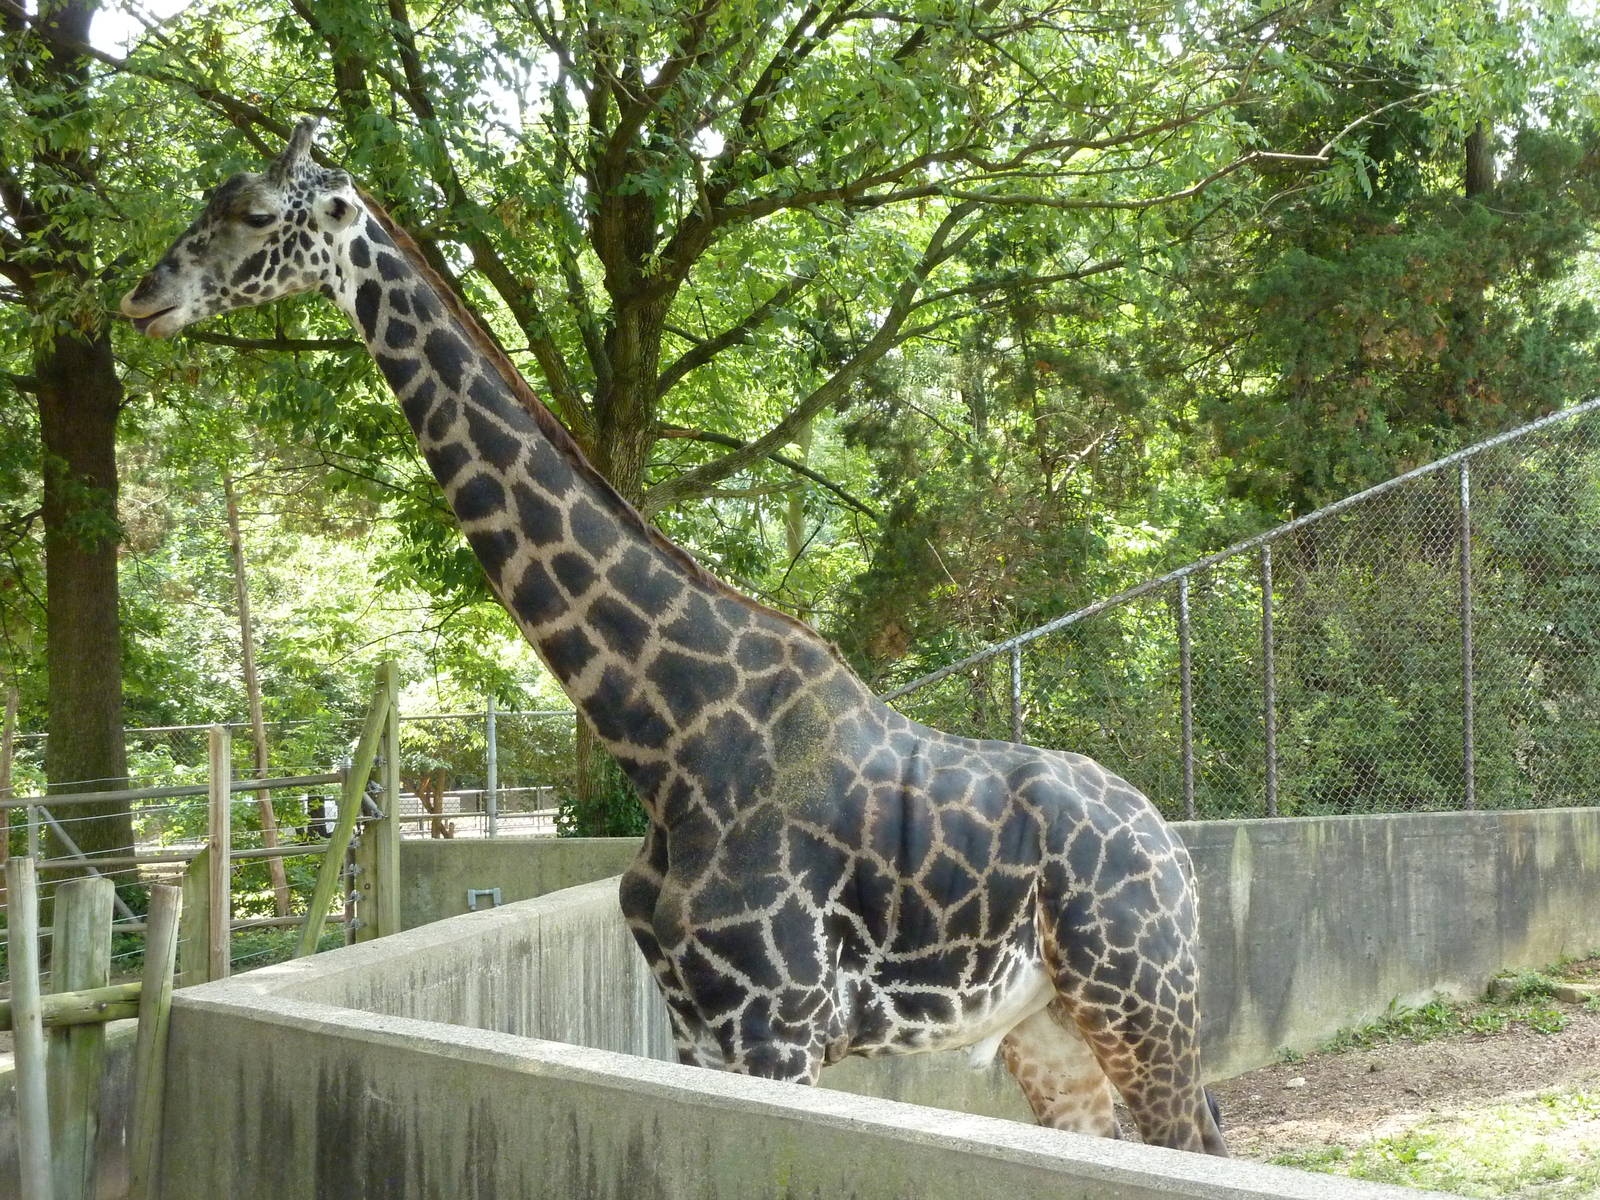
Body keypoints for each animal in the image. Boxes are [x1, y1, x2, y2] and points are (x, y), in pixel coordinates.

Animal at [121, 120, 1227, 1156]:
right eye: (209, 198)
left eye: (258, 213)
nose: (141, 297)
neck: (668, 744)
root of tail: (1170, 843)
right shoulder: (701, 1030)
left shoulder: (778, 1031)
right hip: (1049, 1026)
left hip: (1143, 999)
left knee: (1200, 1138)